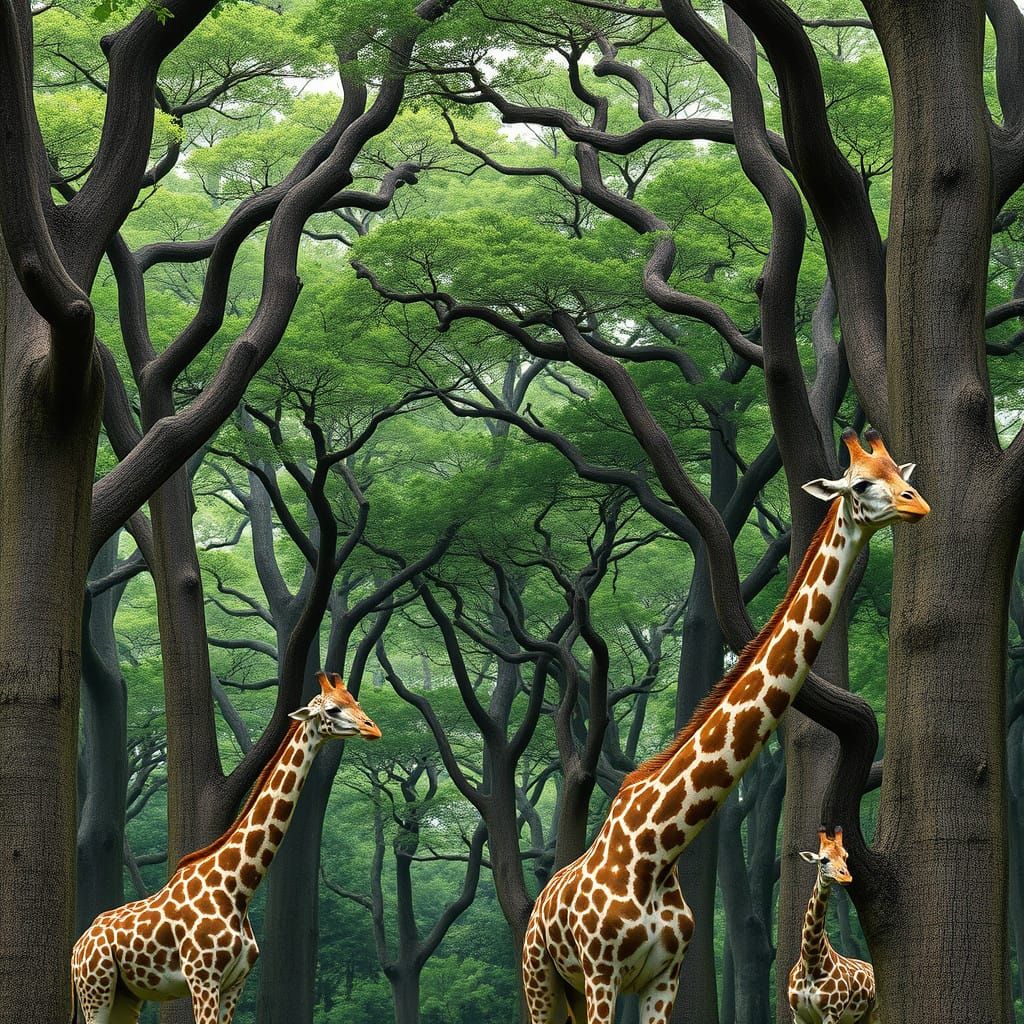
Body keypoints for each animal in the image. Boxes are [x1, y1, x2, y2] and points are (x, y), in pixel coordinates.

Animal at [70, 672, 381, 1024]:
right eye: (332, 709)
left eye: (355, 701)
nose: (373, 728)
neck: (238, 888)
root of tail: (77, 948)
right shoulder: (203, 975)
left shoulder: (236, 982)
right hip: (96, 989)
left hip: (127, 996)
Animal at [788, 827, 878, 1024]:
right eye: (824, 859)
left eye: (845, 856)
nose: (846, 876)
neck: (810, 961)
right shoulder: (798, 1015)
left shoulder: (831, 1012)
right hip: (858, 1018)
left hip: (873, 1013)